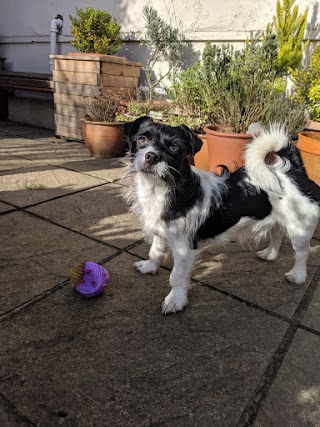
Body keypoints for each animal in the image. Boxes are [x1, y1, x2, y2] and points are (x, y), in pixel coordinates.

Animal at [122, 117, 320, 314]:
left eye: (173, 148)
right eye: (142, 139)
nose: (152, 156)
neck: (161, 188)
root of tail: (295, 171)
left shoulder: (184, 248)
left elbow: (177, 276)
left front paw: (175, 300)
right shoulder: (160, 232)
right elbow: (155, 252)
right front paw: (148, 267)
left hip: (299, 230)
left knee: (302, 253)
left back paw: (298, 276)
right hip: (278, 219)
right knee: (276, 233)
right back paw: (269, 254)